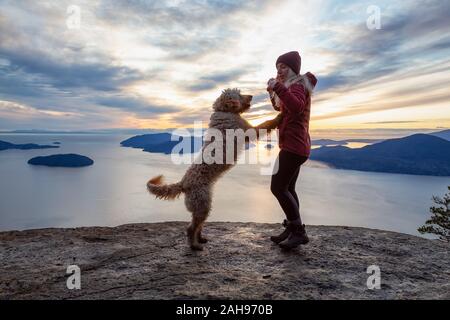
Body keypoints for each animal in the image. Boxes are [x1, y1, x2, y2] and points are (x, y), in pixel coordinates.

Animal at [147, 89, 282, 251]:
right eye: (239, 94)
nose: (251, 96)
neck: (224, 111)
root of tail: (184, 182)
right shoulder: (248, 130)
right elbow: (266, 123)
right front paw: (279, 117)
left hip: (204, 205)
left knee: (198, 226)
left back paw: (201, 239)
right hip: (202, 205)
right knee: (191, 228)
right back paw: (194, 245)